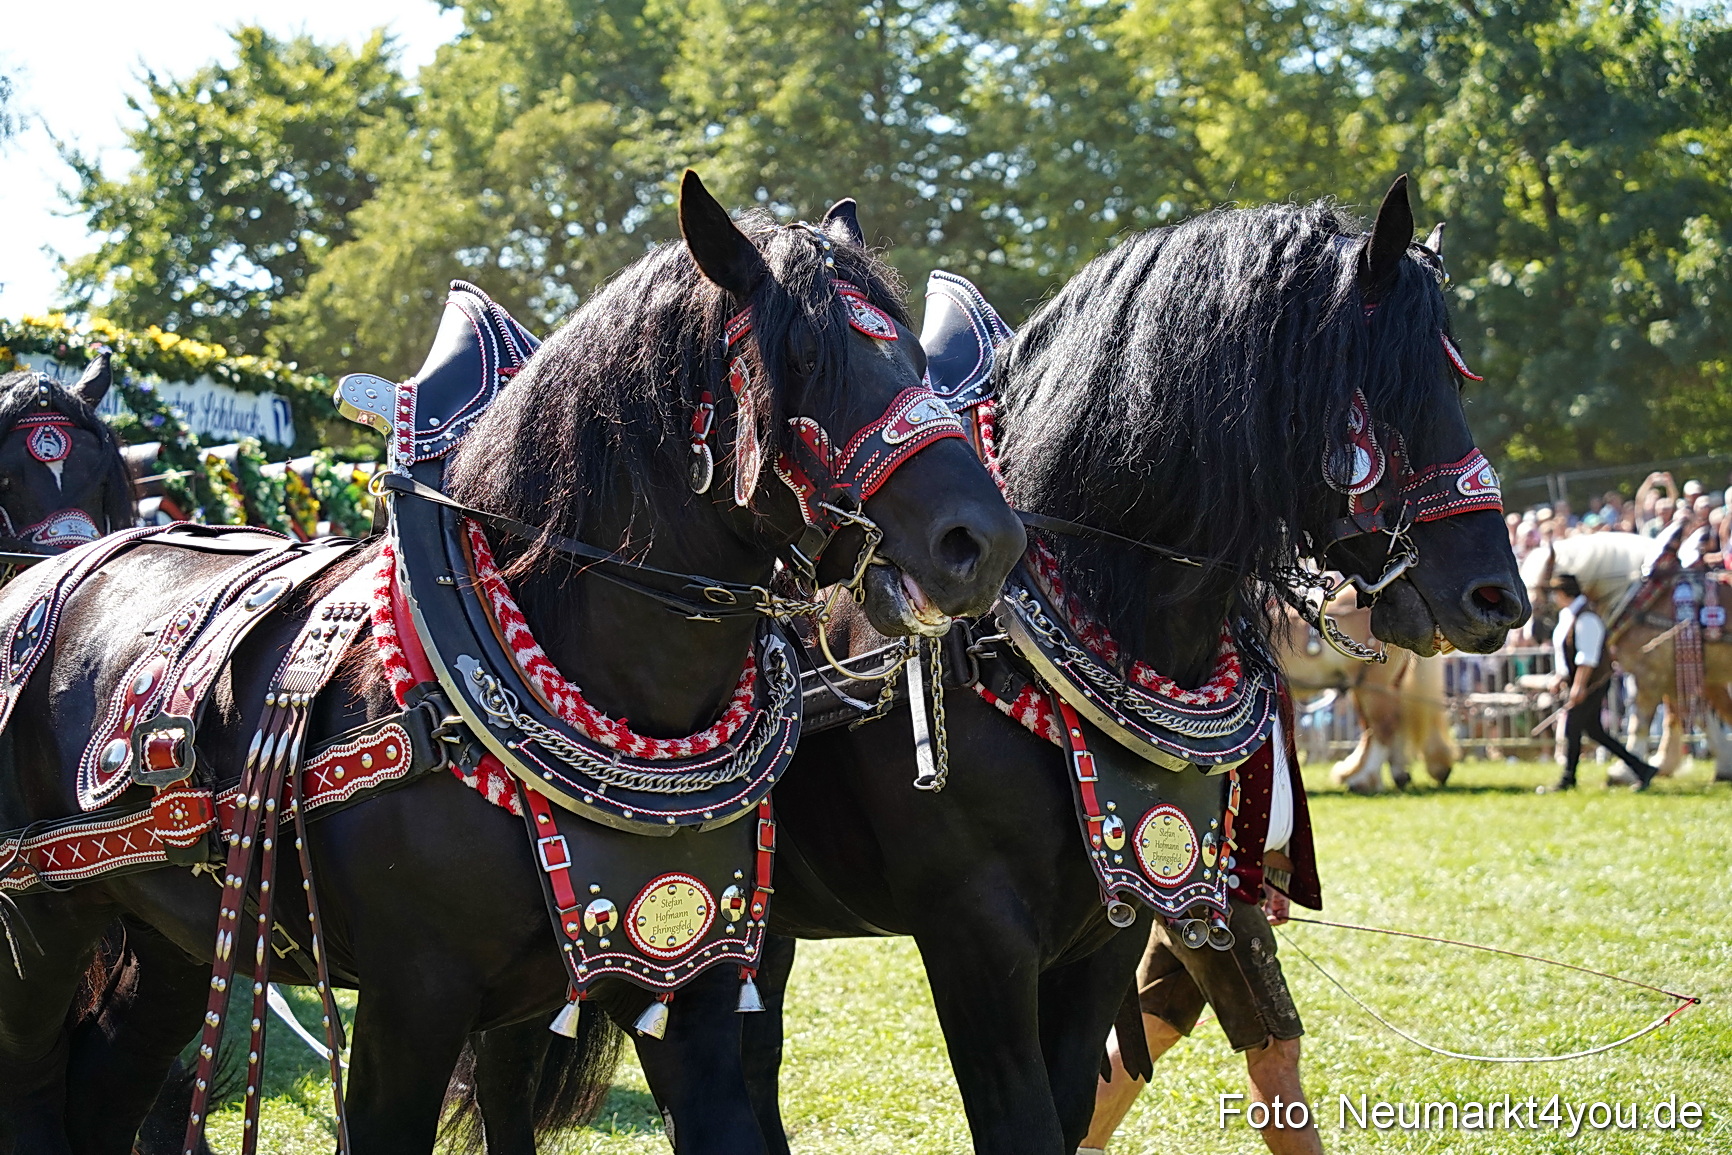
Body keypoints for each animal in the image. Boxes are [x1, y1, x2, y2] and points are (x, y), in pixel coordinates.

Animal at [0, 172, 1026, 1154]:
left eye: (920, 361)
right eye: (805, 357)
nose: (985, 541)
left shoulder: (690, 983)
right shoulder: (410, 1004)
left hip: (169, 932)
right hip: (41, 923)